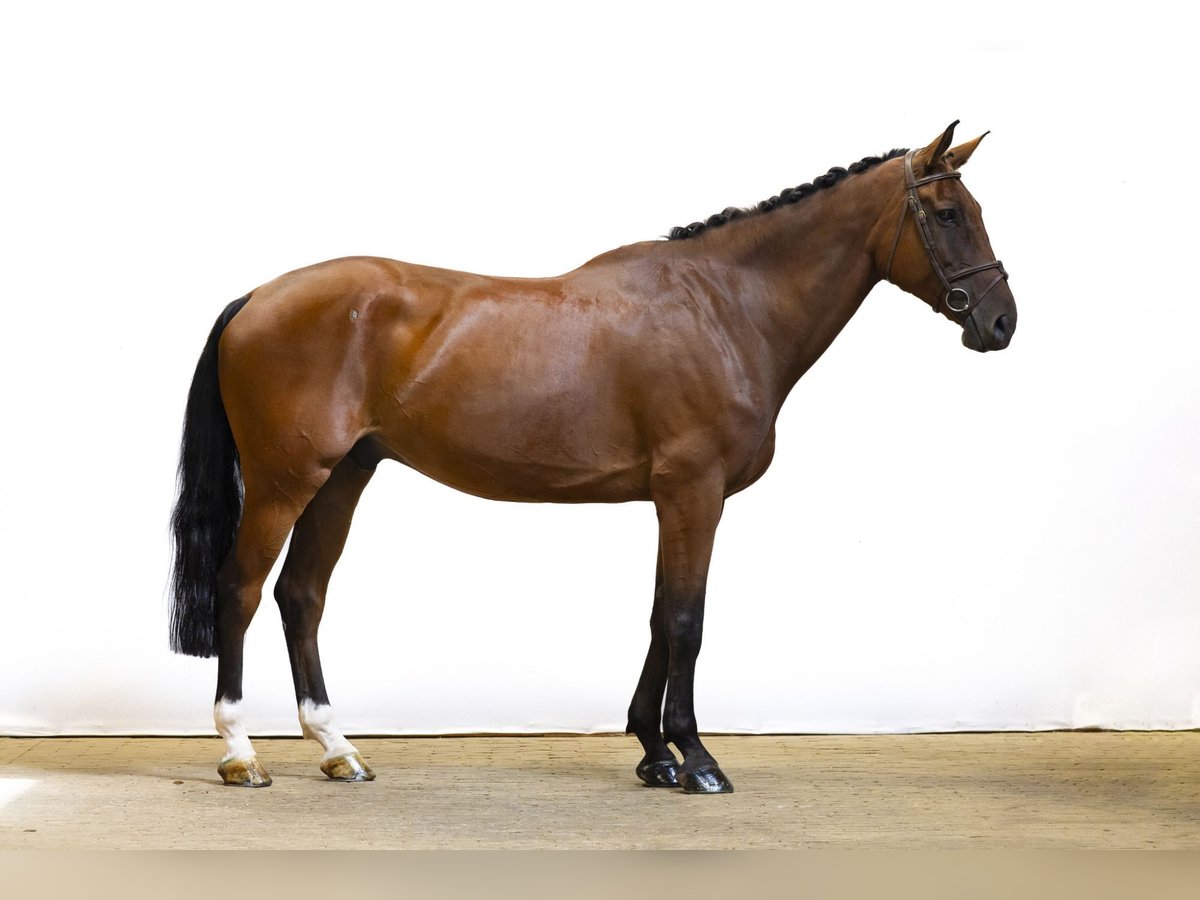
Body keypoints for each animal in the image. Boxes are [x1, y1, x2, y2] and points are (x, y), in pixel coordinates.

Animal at [169, 121, 1015, 793]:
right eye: (947, 215)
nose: (1002, 321)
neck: (724, 306)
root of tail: (256, 297)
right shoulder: (693, 492)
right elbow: (686, 620)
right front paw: (697, 759)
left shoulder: (675, 499)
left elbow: (659, 615)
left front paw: (654, 753)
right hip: (285, 482)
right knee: (241, 590)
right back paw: (241, 754)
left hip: (343, 477)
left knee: (301, 595)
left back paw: (338, 750)